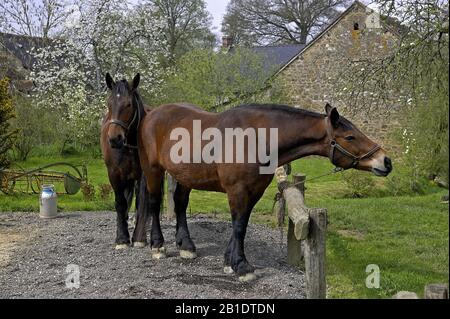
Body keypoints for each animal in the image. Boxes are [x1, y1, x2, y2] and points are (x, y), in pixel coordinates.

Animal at [100, 74, 153, 251]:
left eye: (128, 104)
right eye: (109, 104)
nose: (114, 139)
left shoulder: (143, 175)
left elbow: (142, 202)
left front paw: (139, 237)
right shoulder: (114, 174)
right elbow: (120, 203)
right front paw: (122, 238)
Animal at [119, 100, 390, 282]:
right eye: (350, 136)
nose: (385, 161)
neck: (257, 138)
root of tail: (152, 114)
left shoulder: (254, 191)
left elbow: (242, 225)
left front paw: (229, 261)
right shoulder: (237, 191)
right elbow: (238, 226)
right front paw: (242, 267)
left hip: (184, 176)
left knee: (180, 205)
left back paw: (186, 246)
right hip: (153, 169)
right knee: (154, 203)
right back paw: (157, 246)